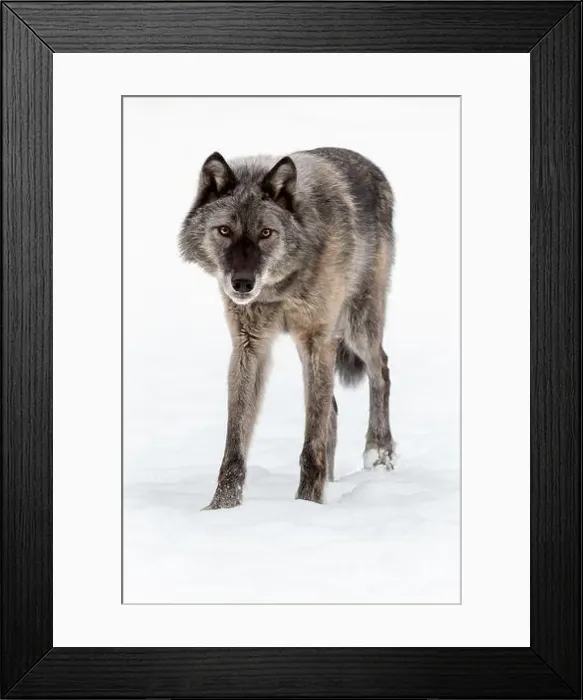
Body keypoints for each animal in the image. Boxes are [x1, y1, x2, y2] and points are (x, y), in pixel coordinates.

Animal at [179, 147, 396, 509]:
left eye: (266, 233)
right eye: (224, 231)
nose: (242, 283)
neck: (278, 287)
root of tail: (367, 163)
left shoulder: (317, 338)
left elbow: (311, 445)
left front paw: (307, 505)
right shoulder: (249, 345)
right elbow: (234, 443)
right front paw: (222, 507)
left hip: (357, 326)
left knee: (381, 370)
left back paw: (379, 453)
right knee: (332, 409)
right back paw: (333, 481)